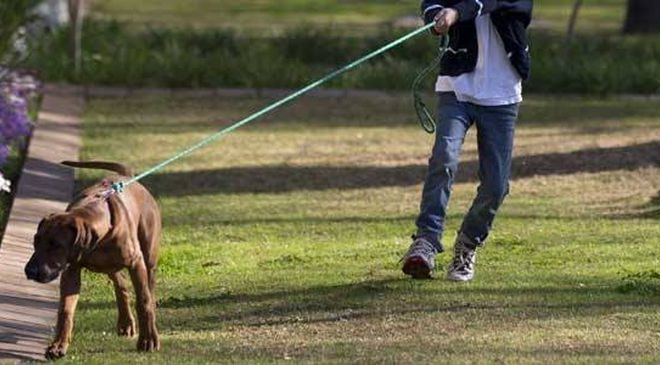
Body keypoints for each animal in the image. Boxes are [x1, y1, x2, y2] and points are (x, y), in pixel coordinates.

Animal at [25, 161, 162, 358]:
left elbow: (144, 301)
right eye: (36, 240)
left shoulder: (136, 262)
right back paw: (125, 322)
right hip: (110, 265)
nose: (29, 271)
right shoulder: (71, 269)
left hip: (148, 258)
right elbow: (65, 310)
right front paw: (58, 345)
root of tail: (129, 177)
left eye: (56, 245)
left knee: (148, 291)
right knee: (120, 285)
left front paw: (148, 340)